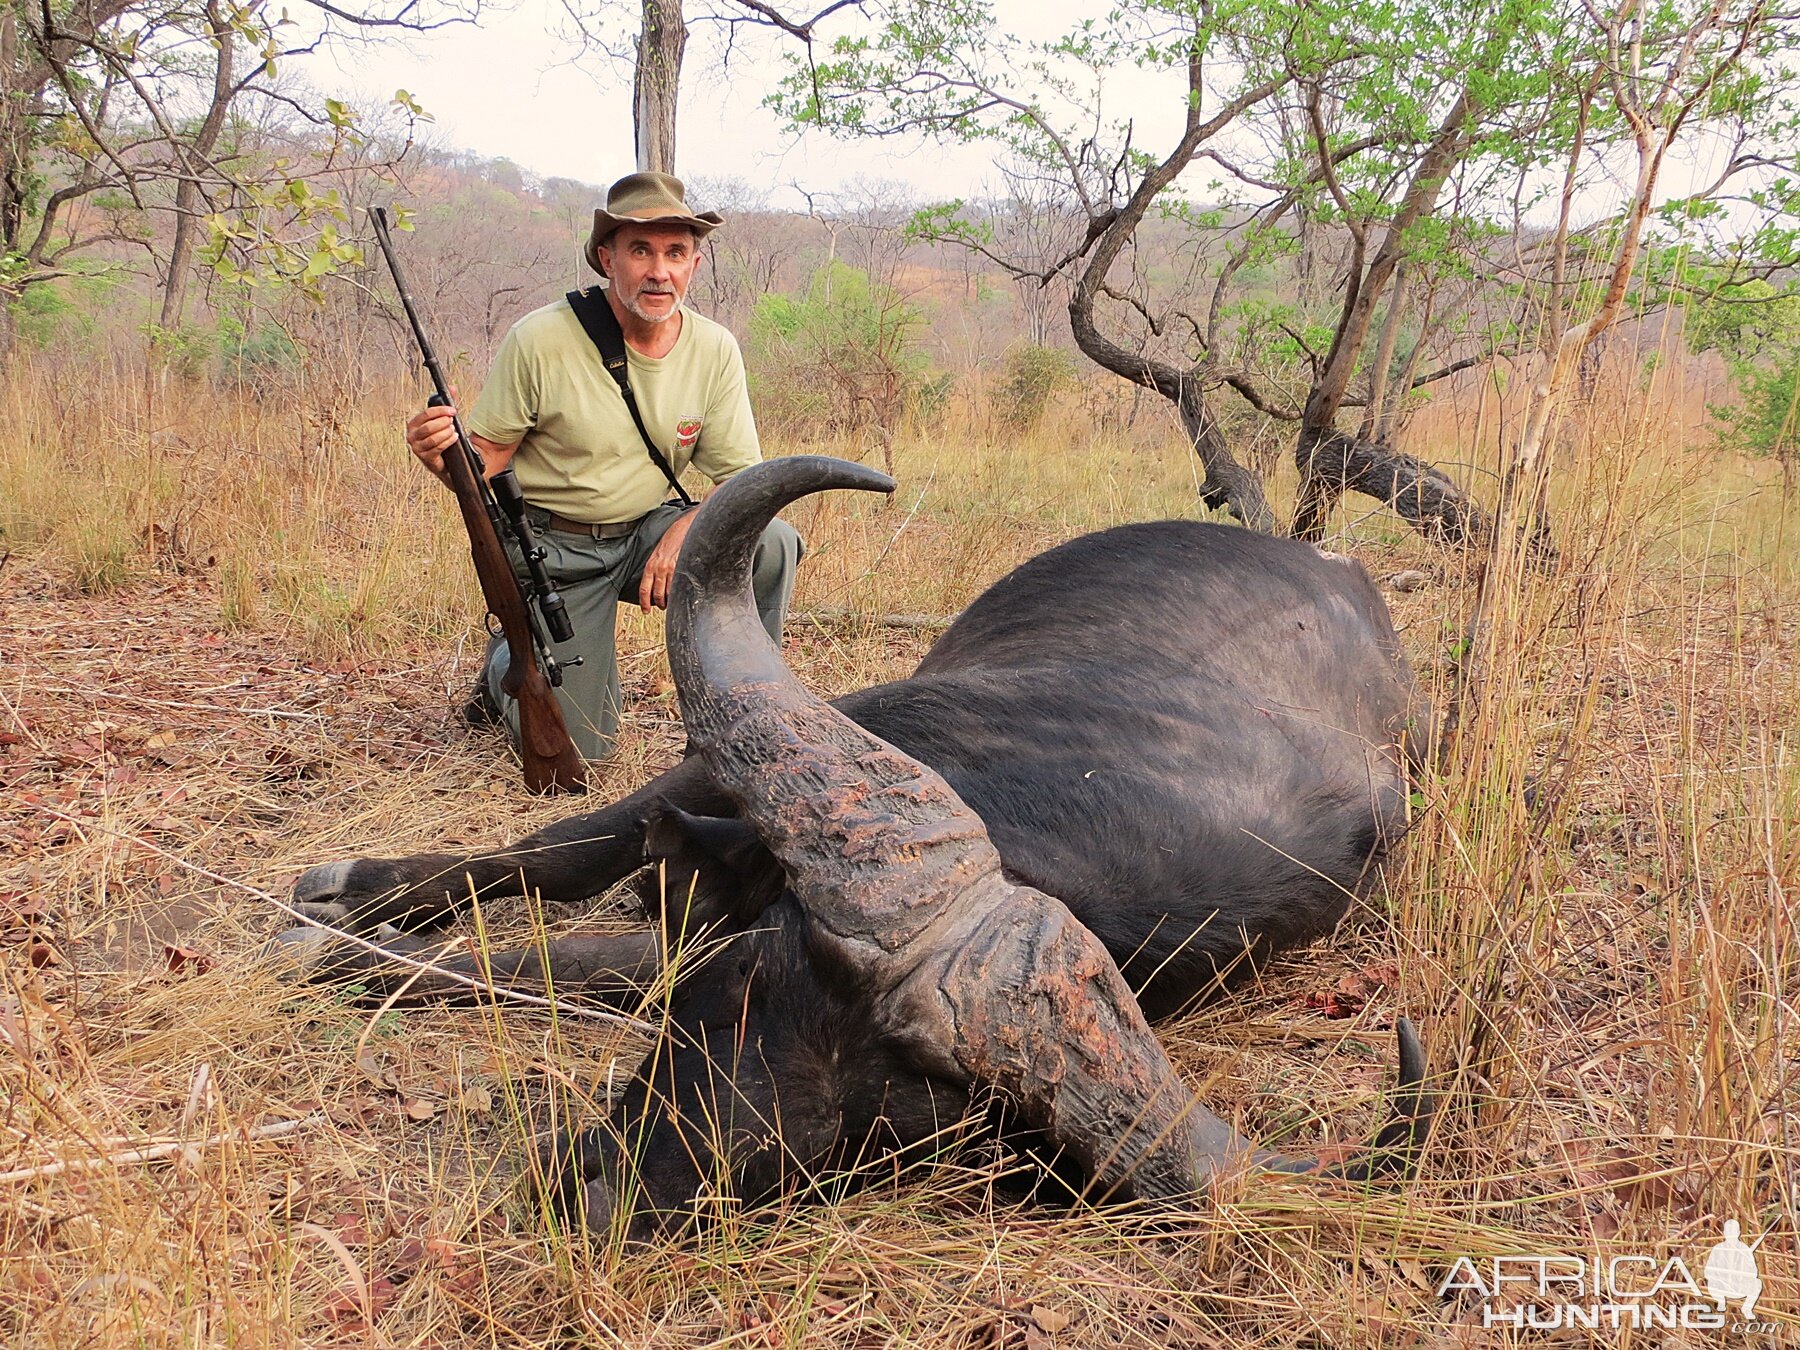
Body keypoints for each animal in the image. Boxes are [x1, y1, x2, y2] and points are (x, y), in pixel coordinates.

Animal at [280, 460, 1432, 1245]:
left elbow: (583, 959)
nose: (598, 1200)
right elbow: (559, 854)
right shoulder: (749, 771)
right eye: (743, 987)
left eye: (878, 1128)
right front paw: (352, 910)